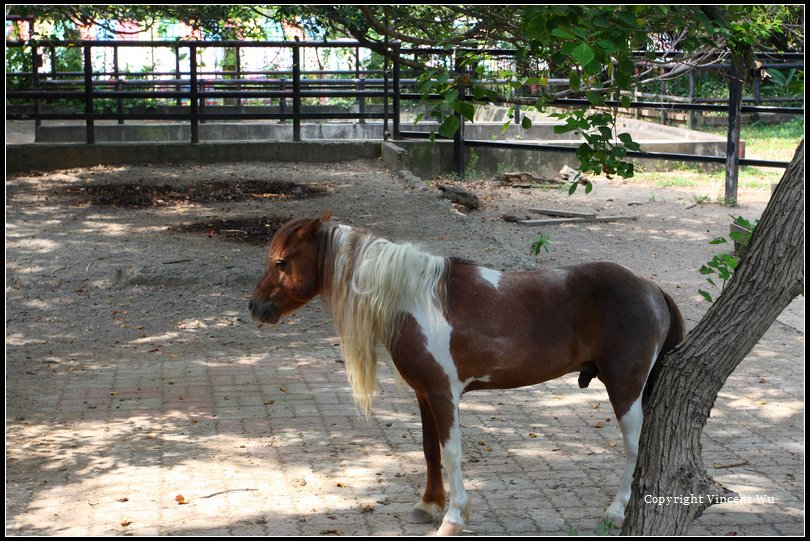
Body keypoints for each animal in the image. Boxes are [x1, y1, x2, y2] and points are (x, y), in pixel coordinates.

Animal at [248, 213, 680, 532]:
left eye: (281, 262)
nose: (254, 307)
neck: (413, 299)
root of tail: (650, 289)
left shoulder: (444, 393)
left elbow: (451, 451)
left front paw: (453, 518)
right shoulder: (424, 393)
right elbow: (429, 449)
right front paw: (427, 505)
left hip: (624, 389)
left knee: (634, 446)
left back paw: (617, 511)